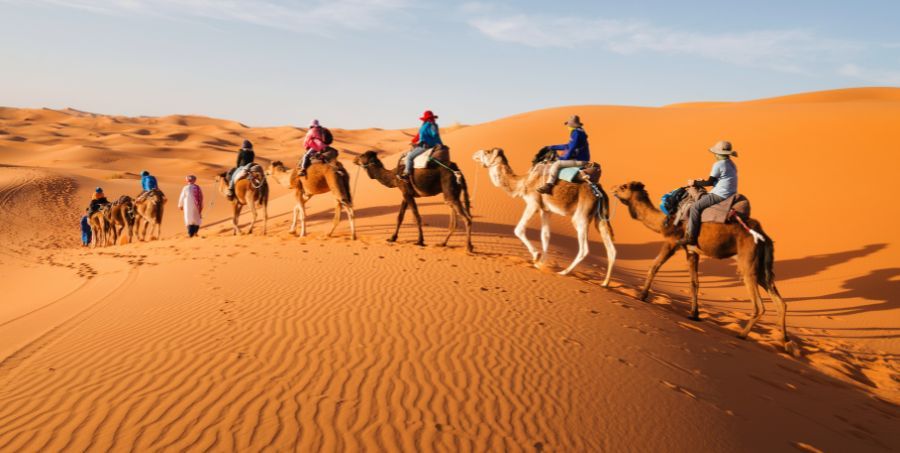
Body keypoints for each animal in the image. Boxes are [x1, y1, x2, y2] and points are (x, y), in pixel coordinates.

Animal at [472, 148, 616, 286]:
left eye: (487, 152)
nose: (474, 154)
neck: (524, 182)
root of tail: (600, 192)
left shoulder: (533, 204)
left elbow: (519, 230)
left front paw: (536, 256)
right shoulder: (546, 210)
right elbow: (545, 236)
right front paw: (541, 264)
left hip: (581, 216)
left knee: (584, 248)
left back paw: (564, 272)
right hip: (600, 218)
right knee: (611, 249)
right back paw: (605, 283)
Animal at [611, 181, 792, 352]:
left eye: (624, 187)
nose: (613, 189)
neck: (664, 221)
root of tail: (764, 237)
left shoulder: (672, 242)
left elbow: (654, 267)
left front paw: (642, 296)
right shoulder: (692, 251)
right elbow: (694, 283)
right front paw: (694, 314)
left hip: (747, 262)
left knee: (759, 304)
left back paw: (742, 334)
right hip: (761, 267)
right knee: (779, 302)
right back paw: (785, 342)